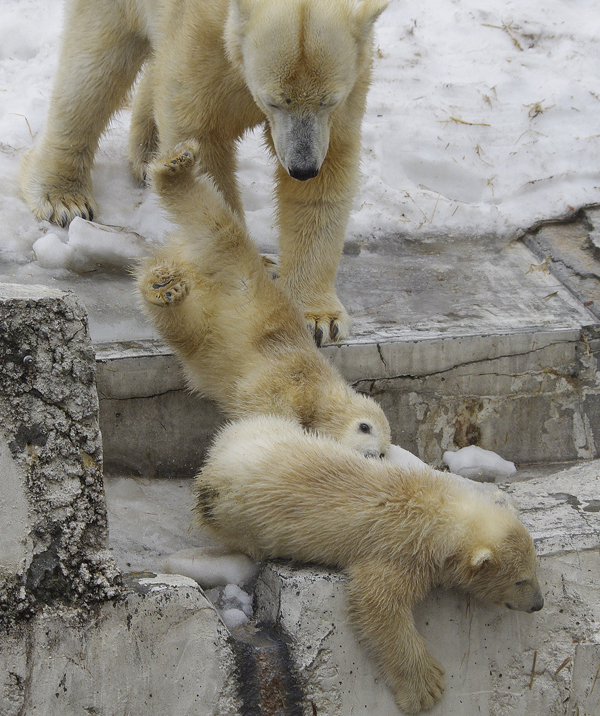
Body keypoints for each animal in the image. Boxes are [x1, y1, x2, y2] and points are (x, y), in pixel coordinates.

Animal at [19, 0, 390, 344]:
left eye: (329, 100)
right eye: (272, 100)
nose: (302, 168)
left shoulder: (344, 96)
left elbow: (327, 177)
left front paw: (319, 320)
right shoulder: (201, 37)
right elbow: (200, 140)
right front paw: (239, 268)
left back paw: (147, 155)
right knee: (94, 69)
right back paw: (64, 197)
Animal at [134, 143, 392, 458]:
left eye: (383, 453)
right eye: (365, 426)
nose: (370, 455)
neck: (320, 385)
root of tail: (183, 258)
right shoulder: (292, 375)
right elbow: (264, 402)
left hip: (201, 320)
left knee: (180, 324)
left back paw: (163, 286)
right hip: (230, 258)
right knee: (212, 219)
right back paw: (176, 165)